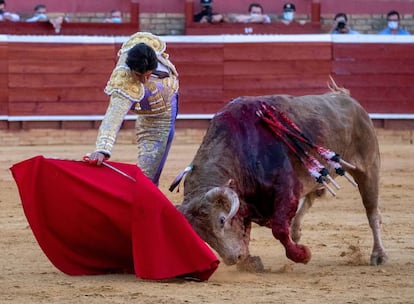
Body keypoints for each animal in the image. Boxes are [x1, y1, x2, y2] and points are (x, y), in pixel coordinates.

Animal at [175, 83, 388, 270]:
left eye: (221, 220)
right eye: (202, 236)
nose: (233, 259)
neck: (242, 149)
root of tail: (347, 99)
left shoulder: (286, 191)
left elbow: (278, 229)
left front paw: (302, 255)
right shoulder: (246, 199)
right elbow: (245, 230)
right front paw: (250, 262)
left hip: (369, 168)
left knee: (372, 212)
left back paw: (378, 255)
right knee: (313, 195)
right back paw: (297, 230)